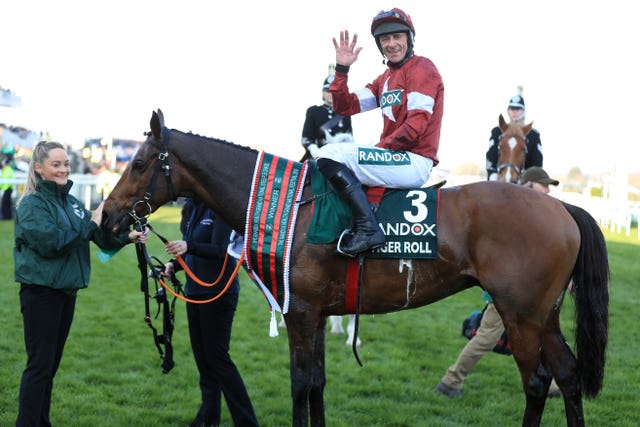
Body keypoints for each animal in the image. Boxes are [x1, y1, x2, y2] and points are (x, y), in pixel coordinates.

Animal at [102, 111, 608, 427]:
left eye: (139, 162)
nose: (106, 218)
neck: (293, 207)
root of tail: (561, 206)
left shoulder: (300, 313)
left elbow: (300, 385)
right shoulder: (319, 314)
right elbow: (318, 384)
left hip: (519, 315)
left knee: (538, 383)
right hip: (545, 317)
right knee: (567, 374)